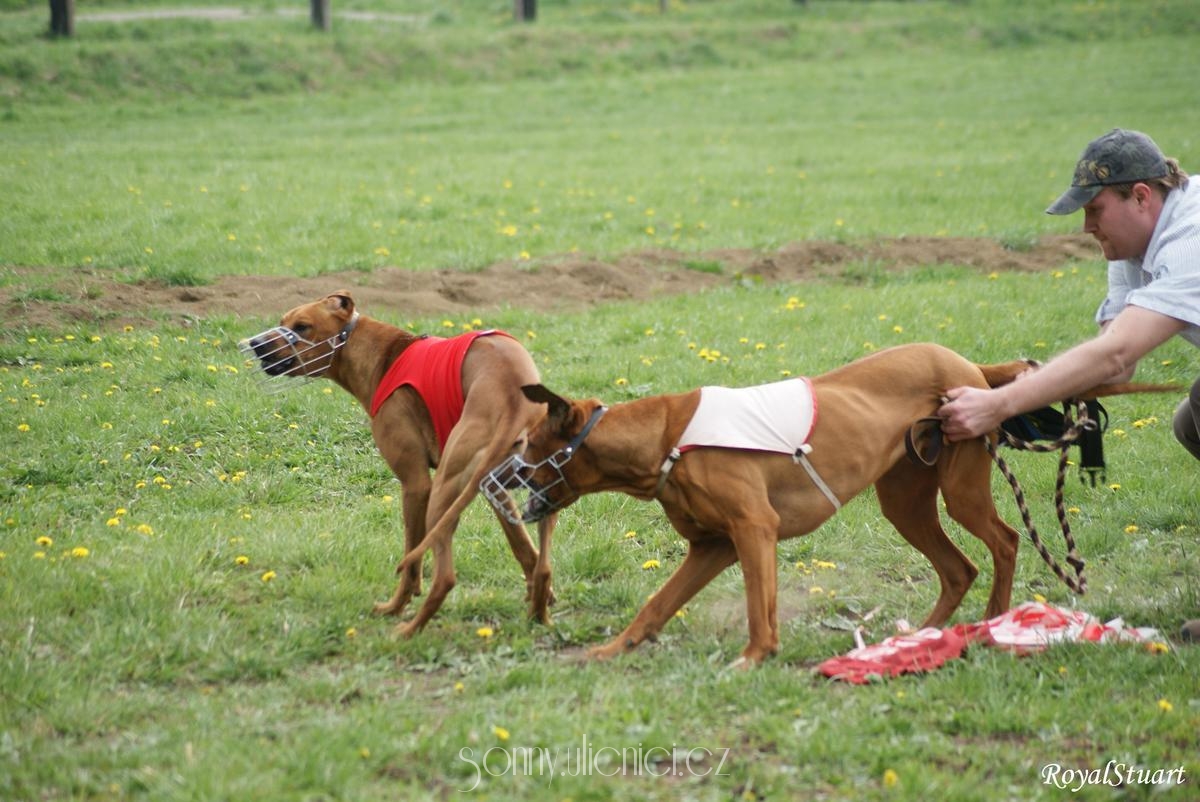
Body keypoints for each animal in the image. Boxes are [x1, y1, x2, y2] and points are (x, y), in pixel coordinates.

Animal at [240, 290, 558, 636]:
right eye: (282, 321)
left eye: (302, 326)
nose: (255, 343)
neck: (384, 355)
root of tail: (513, 396)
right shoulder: (492, 488)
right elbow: (524, 550)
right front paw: (540, 598)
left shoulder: (416, 484)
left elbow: (411, 557)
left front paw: (397, 604)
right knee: (542, 564)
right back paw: (539, 615)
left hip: (443, 491)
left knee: (445, 577)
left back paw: (407, 630)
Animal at [463, 342, 1173, 666]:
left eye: (527, 443)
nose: (497, 476)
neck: (665, 439)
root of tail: (974, 367)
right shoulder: (712, 546)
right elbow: (655, 604)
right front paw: (611, 650)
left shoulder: (754, 530)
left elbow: (760, 610)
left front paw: (754, 659)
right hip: (905, 500)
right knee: (958, 566)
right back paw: (922, 636)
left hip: (961, 487)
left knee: (1001, 541)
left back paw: (992, 623)